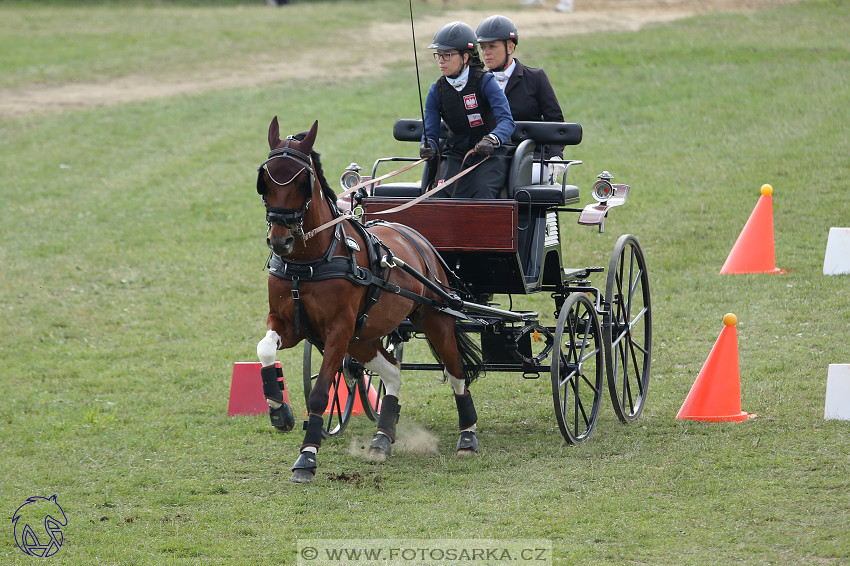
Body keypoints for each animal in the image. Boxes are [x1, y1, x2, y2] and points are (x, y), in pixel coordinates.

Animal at [255, 116, 480, 484]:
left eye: (303, 181)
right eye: (265, 180)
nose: (280, 240)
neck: (310, 262)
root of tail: (416, 237)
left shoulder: (338, 332)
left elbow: (320, 394)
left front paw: (307, 457)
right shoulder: (289, 324)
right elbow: (265, 350)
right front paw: (280, 411)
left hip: (435, 320)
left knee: (457, 372)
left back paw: (468, 436)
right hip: (364, 339)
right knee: (393, 373)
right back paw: (382, 438)